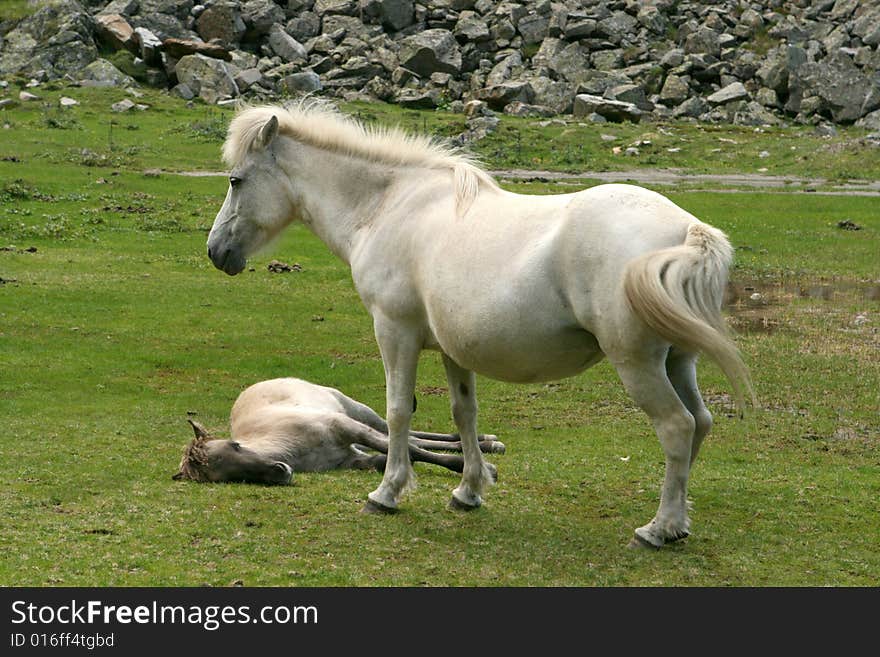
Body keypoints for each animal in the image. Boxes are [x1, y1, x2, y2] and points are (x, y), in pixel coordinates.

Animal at [173, 376, 506, 484]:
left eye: (236, 445)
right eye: (229, 477)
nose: (281, 471)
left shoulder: (346, 427)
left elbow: (410, 449)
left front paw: (482, 468)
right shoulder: (353, 458)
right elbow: (393, 455)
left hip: (357, 411)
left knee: (400, 433)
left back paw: (486, 443)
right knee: (404, 437)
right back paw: (483, 443)